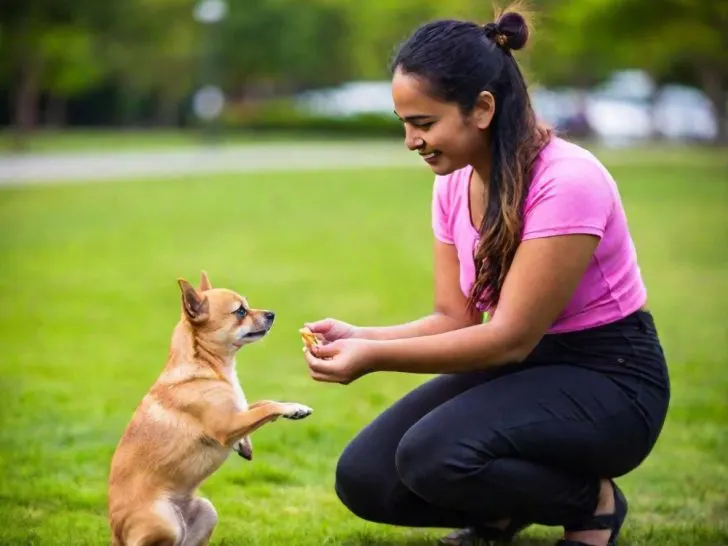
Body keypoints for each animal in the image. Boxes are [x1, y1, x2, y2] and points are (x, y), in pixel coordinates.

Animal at [108, 270, 312, 544]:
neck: (213, 367)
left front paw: (244, 444)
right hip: (165, 522)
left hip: (207, 511)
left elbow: (260, 404)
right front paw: (294, 408)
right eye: (240, 311)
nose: (271, 313)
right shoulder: (228, 425)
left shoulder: (238, 411)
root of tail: (115, 534)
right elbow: (265, 408)